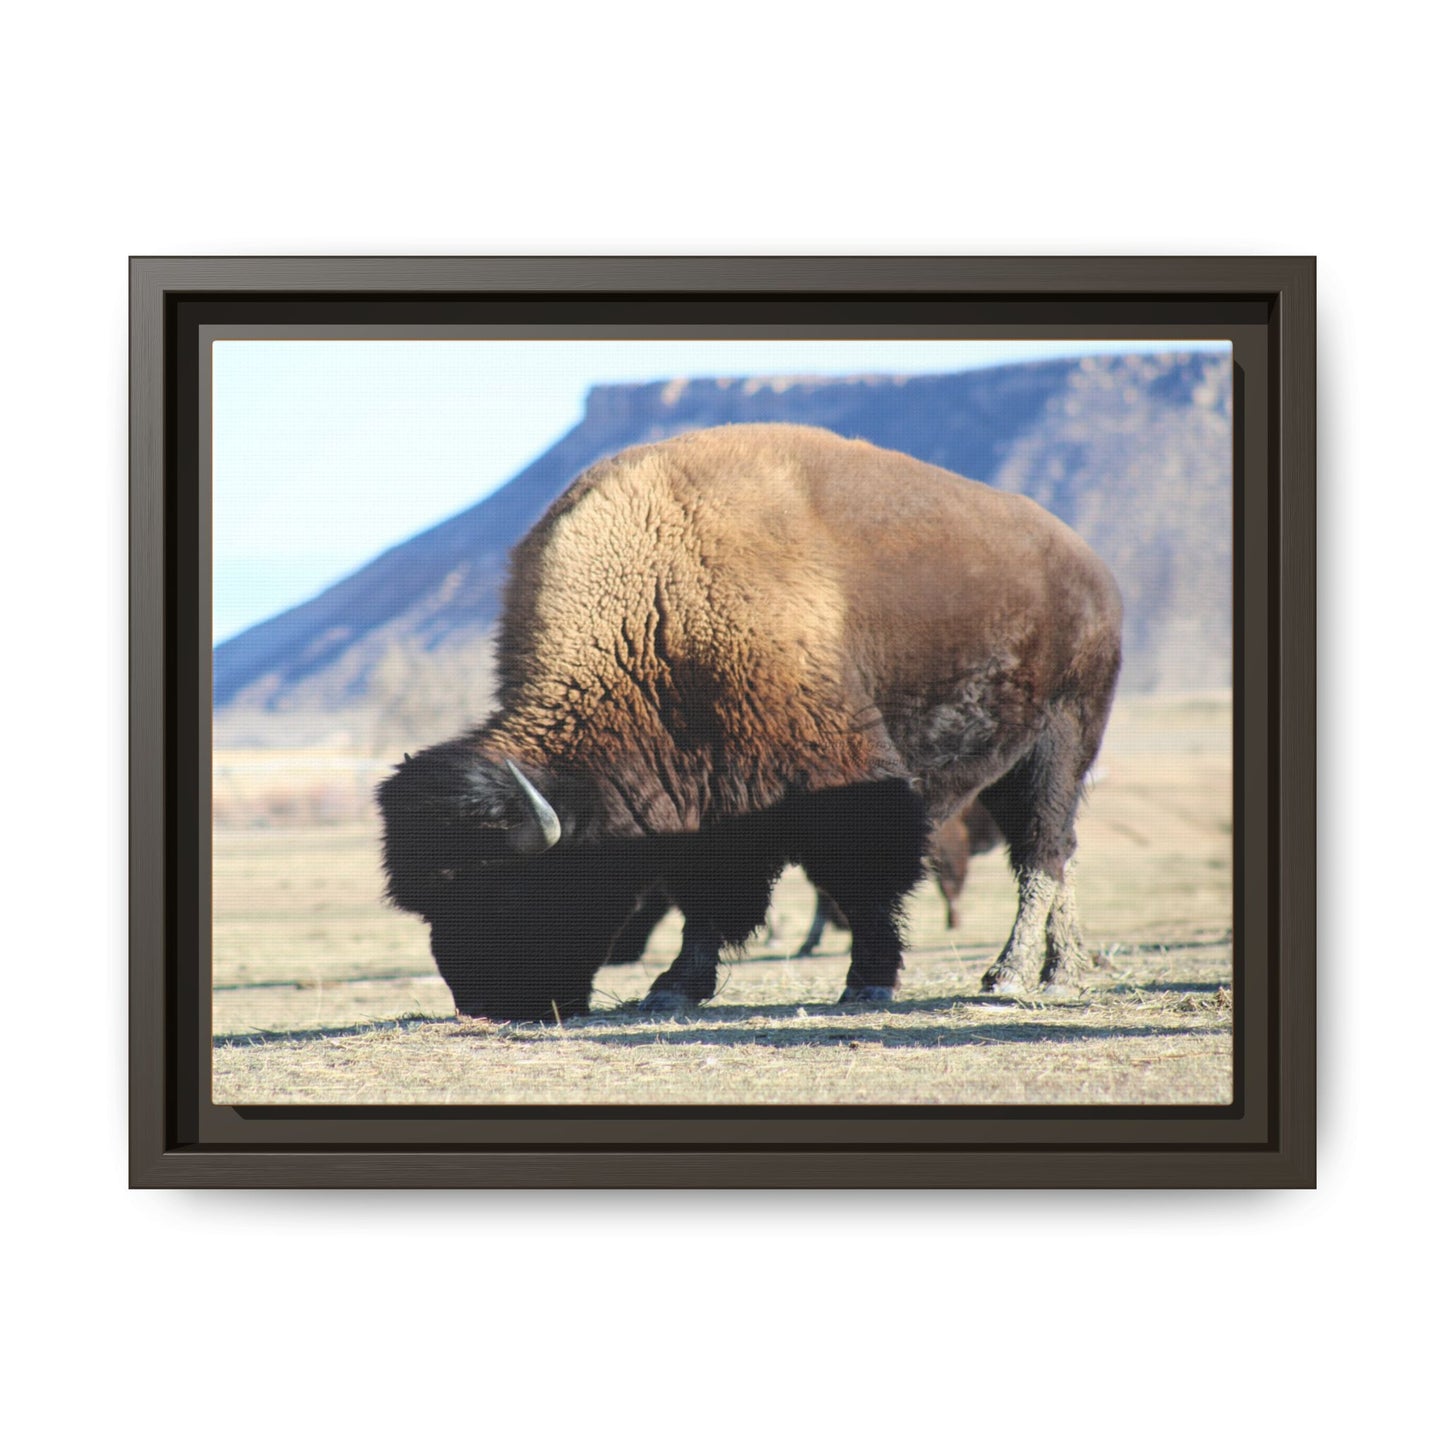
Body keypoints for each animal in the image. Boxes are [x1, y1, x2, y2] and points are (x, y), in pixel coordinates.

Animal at [378, 423, 1122, 1021]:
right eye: (428, 904)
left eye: (505, 888)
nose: (485, 1003)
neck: (657, 611)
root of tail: (1090, 568)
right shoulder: (704, 804)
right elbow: (706, 898)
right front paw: (673, 988)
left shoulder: (839, 779)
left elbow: (863, 881)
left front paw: (868, 982)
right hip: (1011, 763)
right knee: (1055, 853)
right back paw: (1061, 968)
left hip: (1061, 741)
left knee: (1042, 852)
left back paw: (1015, 975)